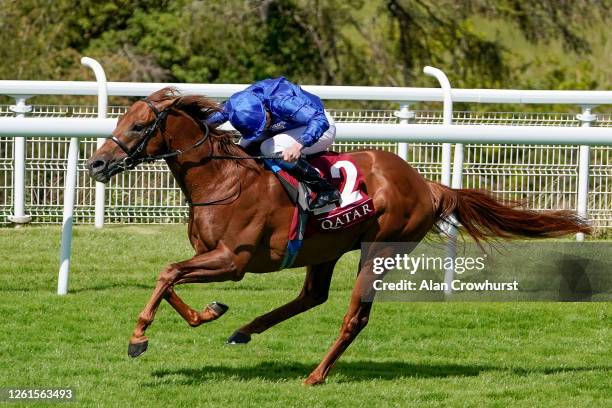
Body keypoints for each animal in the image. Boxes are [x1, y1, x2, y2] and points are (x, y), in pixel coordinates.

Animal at [87, 87, 592, 386]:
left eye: (138, 125)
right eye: (119, 121)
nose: (96, 163)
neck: (222, 179)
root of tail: (426, 184)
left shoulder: (233, 260)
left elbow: (168, 273)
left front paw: (138, 338)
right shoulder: (211, 255)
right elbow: (171, 278)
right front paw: (208, 313)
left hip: (380, 251)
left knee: (354, 318)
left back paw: (316, 375)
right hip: (326, 247)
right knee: (312, 296)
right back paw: (245, 330)